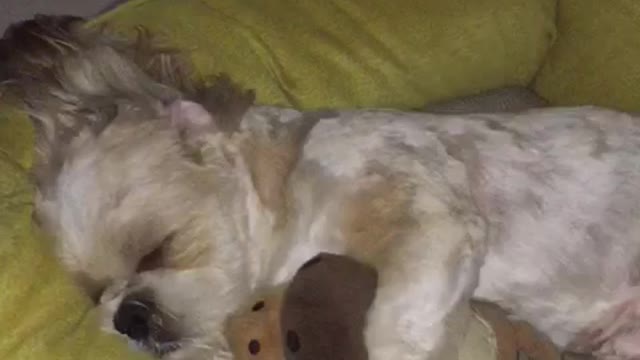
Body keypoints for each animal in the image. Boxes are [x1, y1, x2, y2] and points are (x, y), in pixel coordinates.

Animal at [5, 15, 640, 358]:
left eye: (158, 250)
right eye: (96, 294)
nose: (128, 316)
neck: (294, 194)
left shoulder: (423, 214)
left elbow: (394, 321)